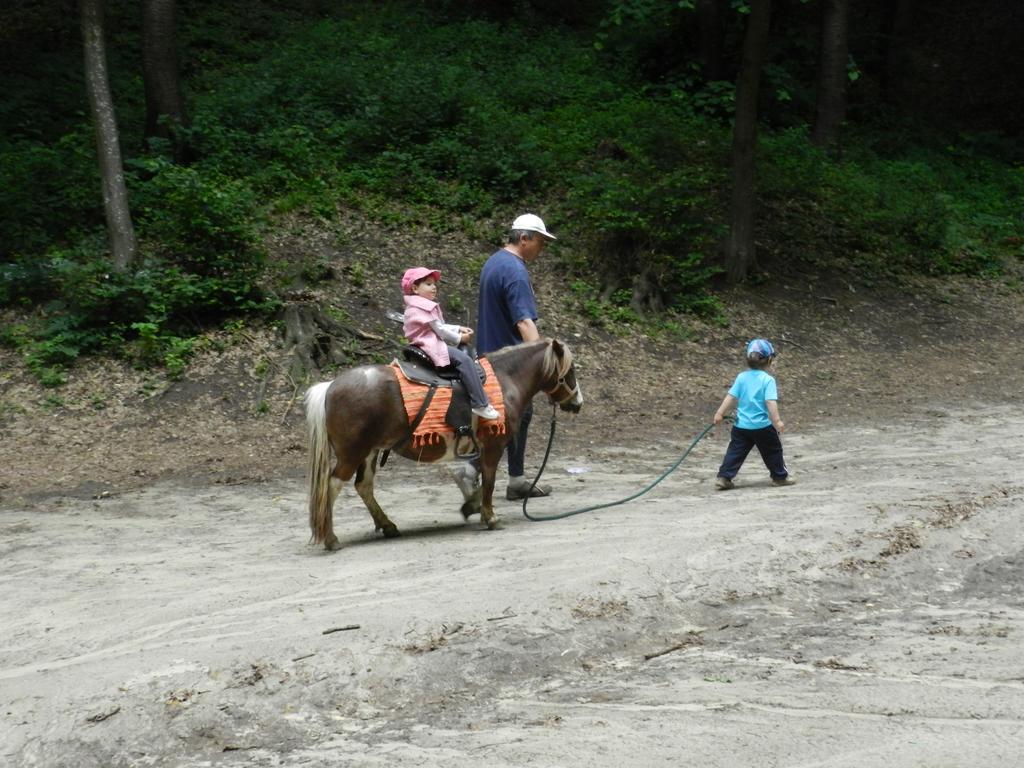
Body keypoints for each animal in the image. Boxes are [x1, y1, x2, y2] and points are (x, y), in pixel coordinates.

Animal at [301, 339, 585, 548]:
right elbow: (490, 479)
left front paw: (472, 505)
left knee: (364, 486)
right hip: (352, 453)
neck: (504, 380)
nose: (577, 403)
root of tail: (330, 387)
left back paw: (388, 525)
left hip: (369, 451)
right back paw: (331, 538)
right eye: (569, 371)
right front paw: (490, 516)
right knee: (332, 485)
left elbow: (480, 477)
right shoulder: (494, 445)